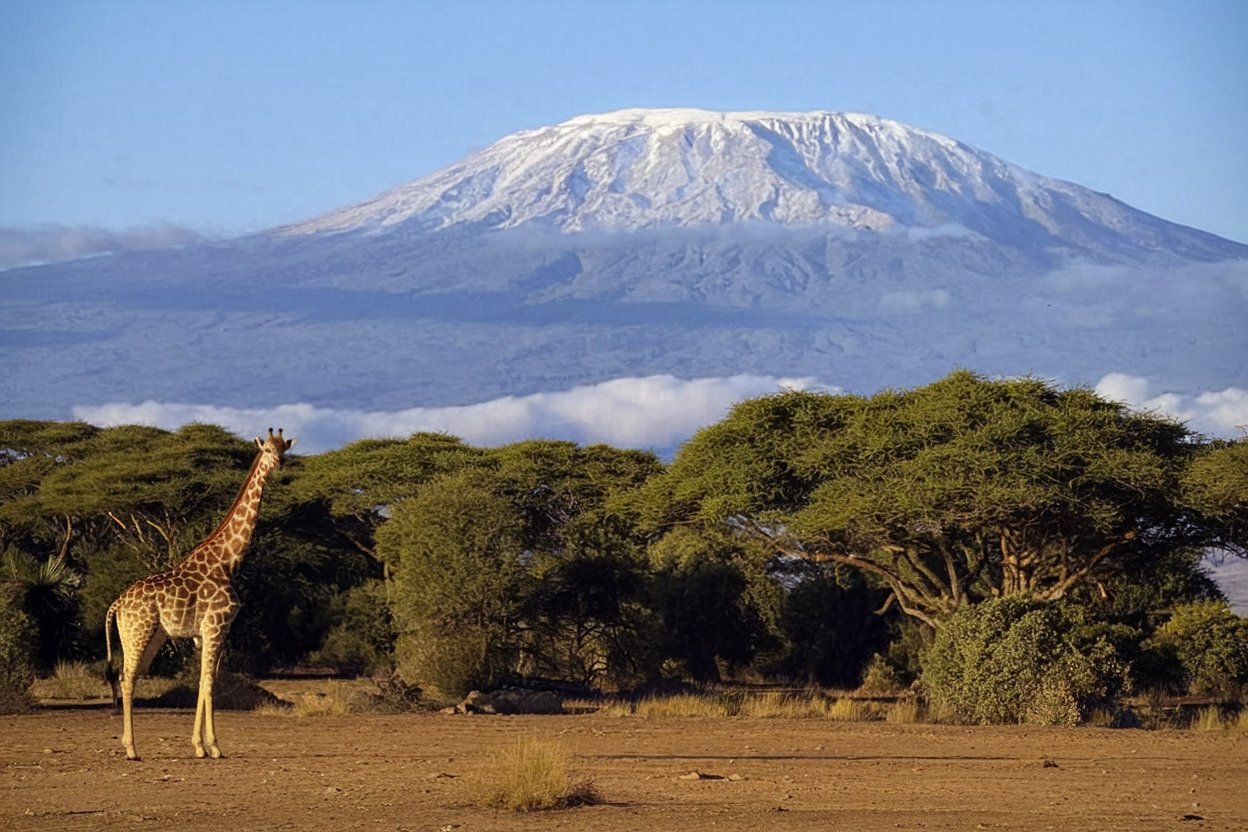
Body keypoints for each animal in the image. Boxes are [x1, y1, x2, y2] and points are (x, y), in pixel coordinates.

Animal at [104, 429, 294, 763]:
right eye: (268, 450)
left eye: (285, 449)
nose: (280, 465)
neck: (228, 560)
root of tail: (117, 604)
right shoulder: (217, 625)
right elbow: (208, 684)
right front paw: (214, 746)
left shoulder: (202, 633)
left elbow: (204, 682)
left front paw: (198, 746)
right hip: (139, 632)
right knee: (127, 678)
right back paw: (131, 749)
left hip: (147, 636)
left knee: (131, 677)